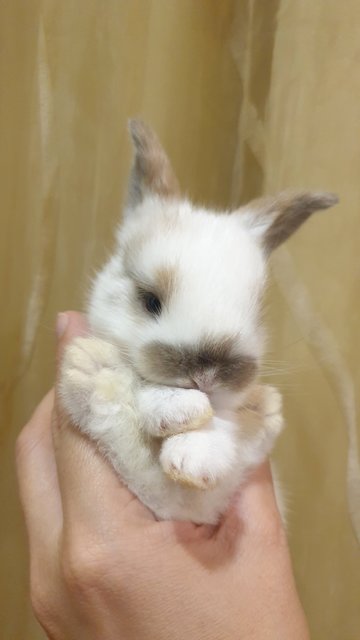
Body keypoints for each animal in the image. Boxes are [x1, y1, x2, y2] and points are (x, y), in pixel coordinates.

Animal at [59, 120, 338, 524]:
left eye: (256, 311)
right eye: (150, 300)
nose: (206, 377)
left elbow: (219, 427)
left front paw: (196, 458)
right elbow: (142, 390)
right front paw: (179, 409)